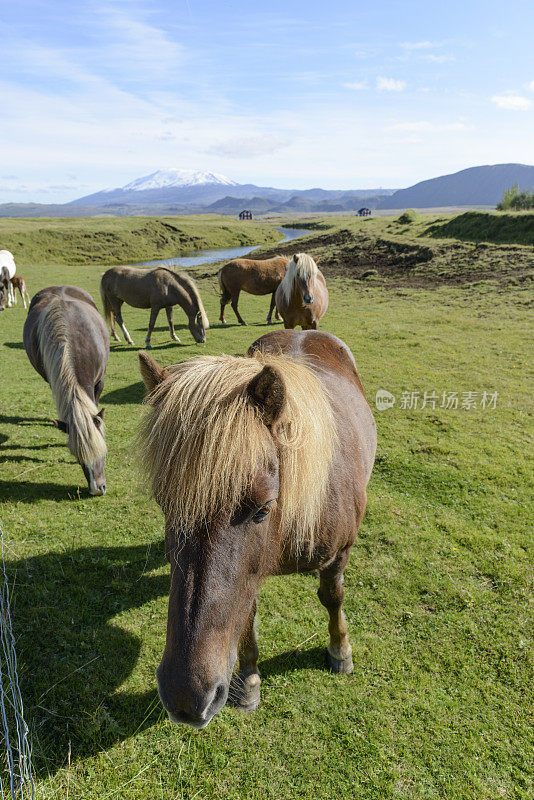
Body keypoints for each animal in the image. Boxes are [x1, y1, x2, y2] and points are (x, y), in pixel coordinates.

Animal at [138, 328, 376, 728]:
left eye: (263, 508)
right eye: (163, 502)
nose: (186, 697)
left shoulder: (339, 553)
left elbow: (333, 596)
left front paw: (340, 649)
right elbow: (245, 615)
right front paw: (248, 680)